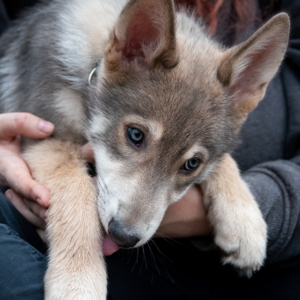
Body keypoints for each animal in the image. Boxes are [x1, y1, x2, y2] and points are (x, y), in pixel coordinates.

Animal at [0, 0, 290, 298]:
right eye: (135, 135)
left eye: (192, 164)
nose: (123, 237)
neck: (92, 69)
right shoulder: (43, 136)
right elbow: (76, 191)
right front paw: (78, 281)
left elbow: (225, 161)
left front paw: (245, 222)